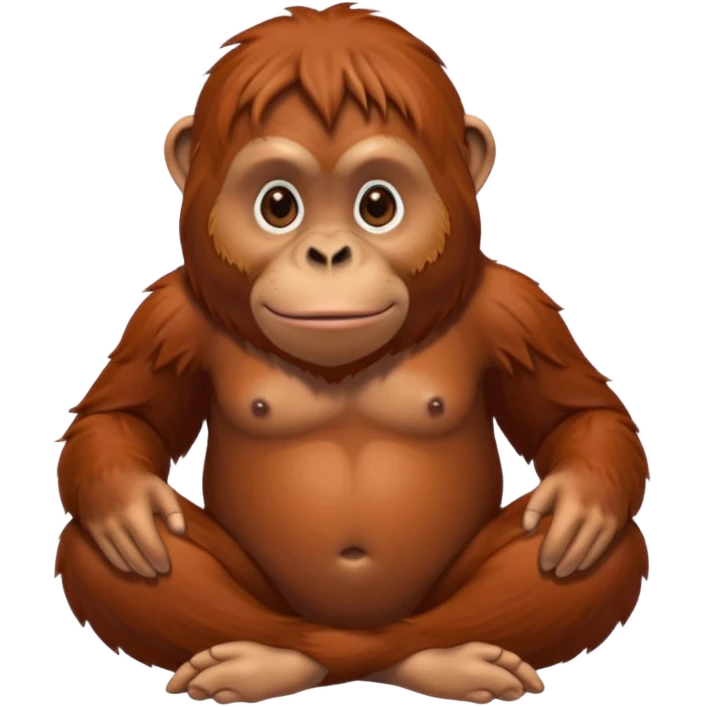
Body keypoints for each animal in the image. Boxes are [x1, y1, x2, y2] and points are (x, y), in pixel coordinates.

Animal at [54, 4, 649, 704]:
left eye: (378, 205)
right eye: (278, 205)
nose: (329, 253)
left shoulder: (513, 311)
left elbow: (578, 419)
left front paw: (581, 502)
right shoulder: (170, 319)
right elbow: (122, 423)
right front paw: (126, 503)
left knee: (596, 553)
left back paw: (441, 657)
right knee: (102, 552)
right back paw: (268, 657)